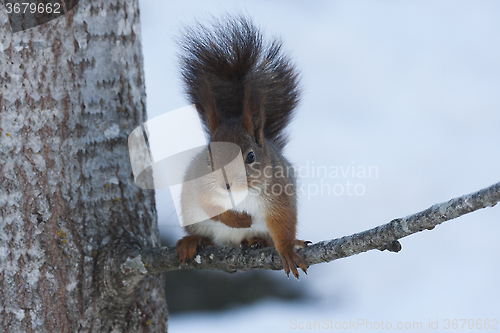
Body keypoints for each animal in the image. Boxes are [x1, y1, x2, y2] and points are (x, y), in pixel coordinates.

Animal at [176, 15, 308, 278]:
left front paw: (288, 249)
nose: (225, 184)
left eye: (250, 156)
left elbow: (283, 223)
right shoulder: (200, 184)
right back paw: (192, 241)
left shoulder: (279, 192)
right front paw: (239, 220)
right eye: (209, 158)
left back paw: (258, 241)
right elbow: (210, 205)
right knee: (203, 235)